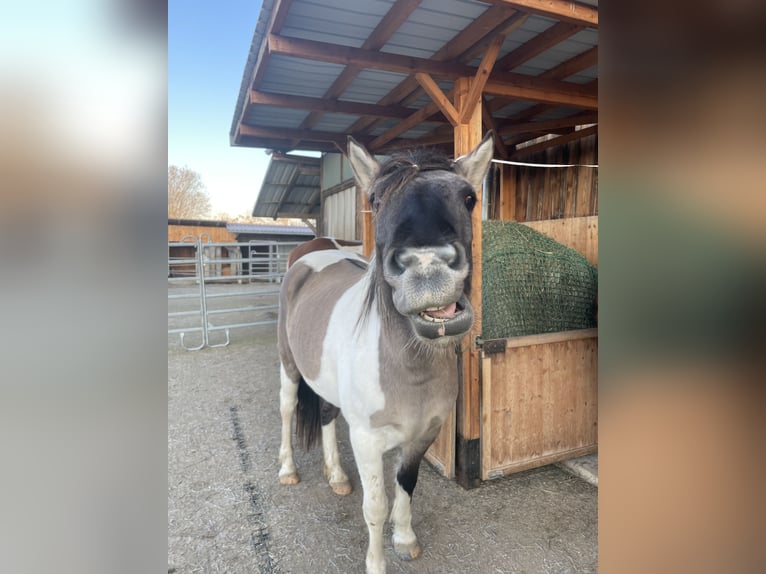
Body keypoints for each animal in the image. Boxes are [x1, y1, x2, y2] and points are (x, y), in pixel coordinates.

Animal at [277, 132, 494, 574]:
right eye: (375, 199)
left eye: (468, 198)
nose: (428, 267)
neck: (409, 370)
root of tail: (310, 256)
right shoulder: (366, 440)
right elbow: (375, 506)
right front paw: (377, 562)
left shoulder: (422, 436)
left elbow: (406, 486)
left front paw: (406, 540)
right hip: (289, 367)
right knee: (288, 409)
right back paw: (288, 469)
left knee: (326, 414)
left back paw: (337, 476)